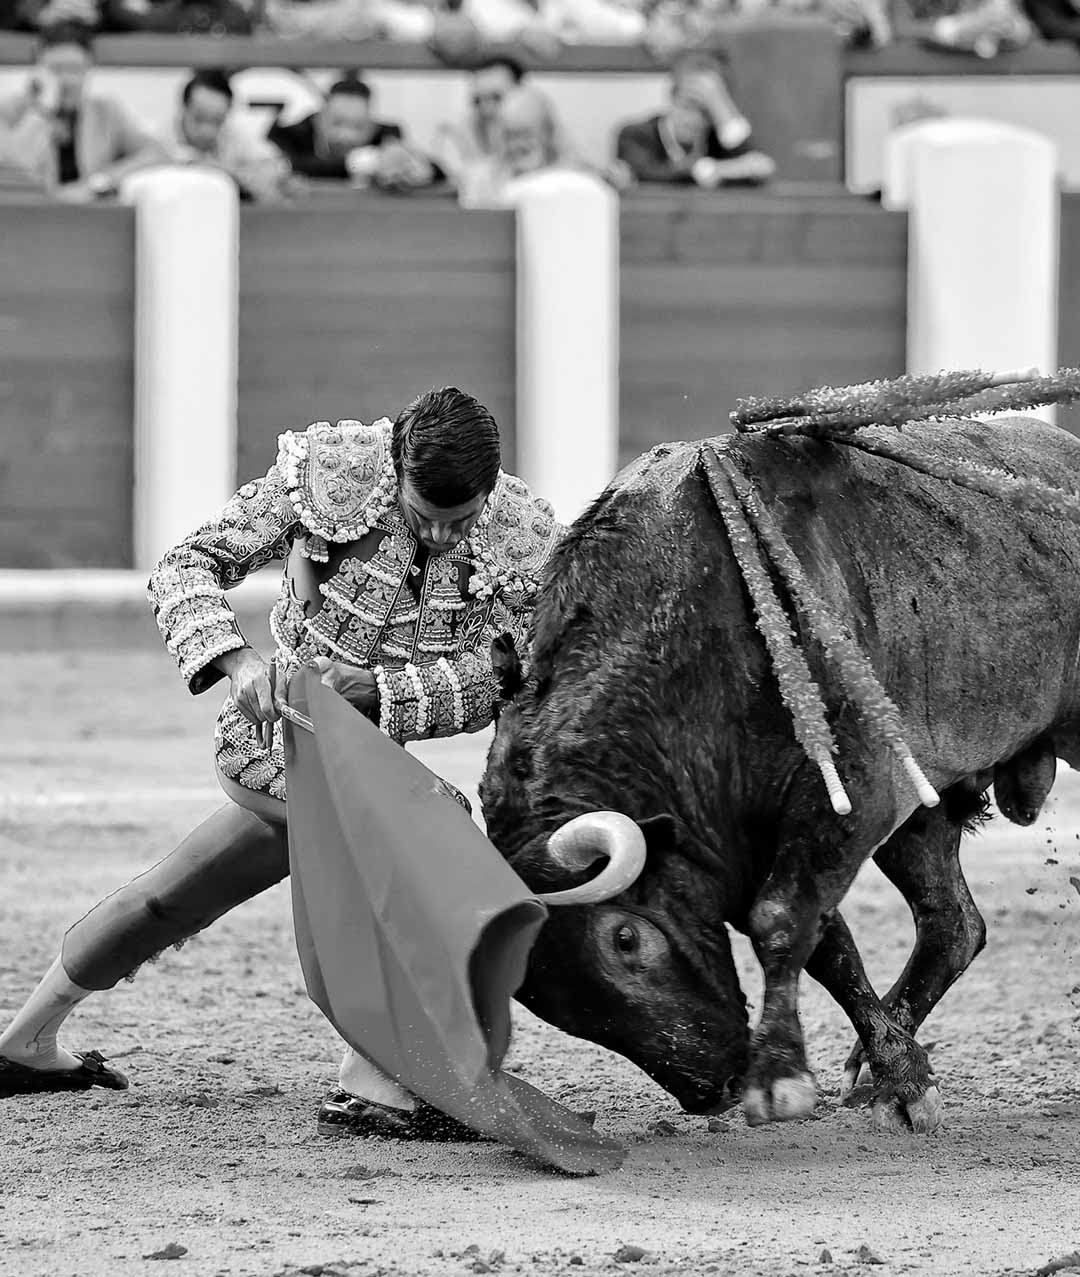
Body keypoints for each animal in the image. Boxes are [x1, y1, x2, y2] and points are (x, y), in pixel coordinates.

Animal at [480, 408, 1080, 1139]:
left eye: (624, 938)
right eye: (539, 991)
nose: (710, 1088)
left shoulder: (853, 793)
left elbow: (783, 918)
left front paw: (780, 1083)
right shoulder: (735, 834)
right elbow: (826, 945)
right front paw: (900, 1078)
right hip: (927, 806)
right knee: (952, 924)